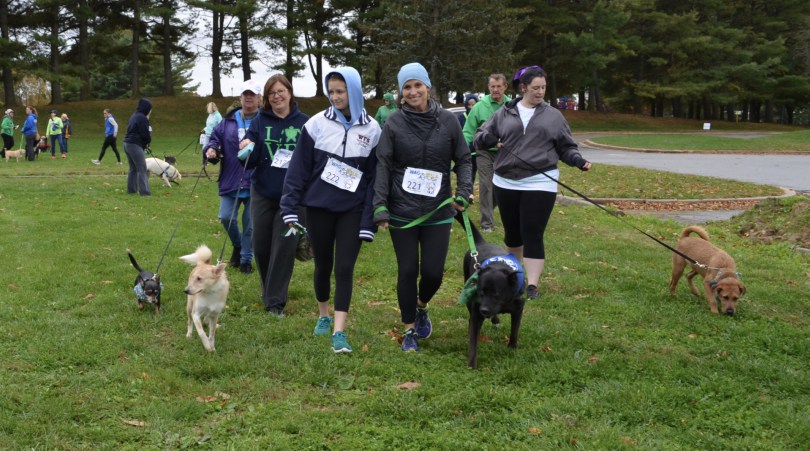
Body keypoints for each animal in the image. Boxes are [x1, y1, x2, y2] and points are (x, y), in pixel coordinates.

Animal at [458, 215, 528, 368]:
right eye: (481, 292)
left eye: (497, 293)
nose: (484, 310)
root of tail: (481, 243)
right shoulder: (477, 312)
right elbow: (473, 340)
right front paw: (472, 364)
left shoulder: (518, 308)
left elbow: (515, 330)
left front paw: (512, 347)